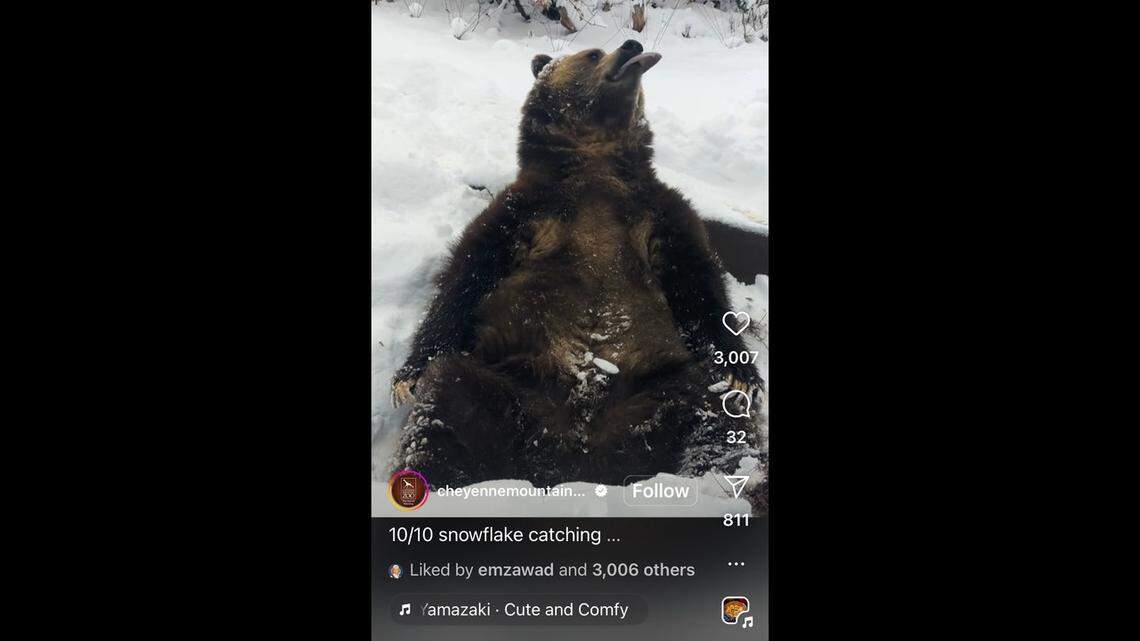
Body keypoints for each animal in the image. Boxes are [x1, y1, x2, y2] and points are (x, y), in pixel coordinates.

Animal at [389, 40, 766, 509]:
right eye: (592, 54)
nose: (633, 45)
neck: (595, 165)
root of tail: (576, 463)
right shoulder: (528, 210)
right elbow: (467, 274)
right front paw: (406, 378)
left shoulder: (656, 213)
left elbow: (698, 285)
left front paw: (743, 373)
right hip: (505, 384)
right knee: (446, 410)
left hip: (660, 389)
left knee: (713, 415)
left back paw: (730, 483)